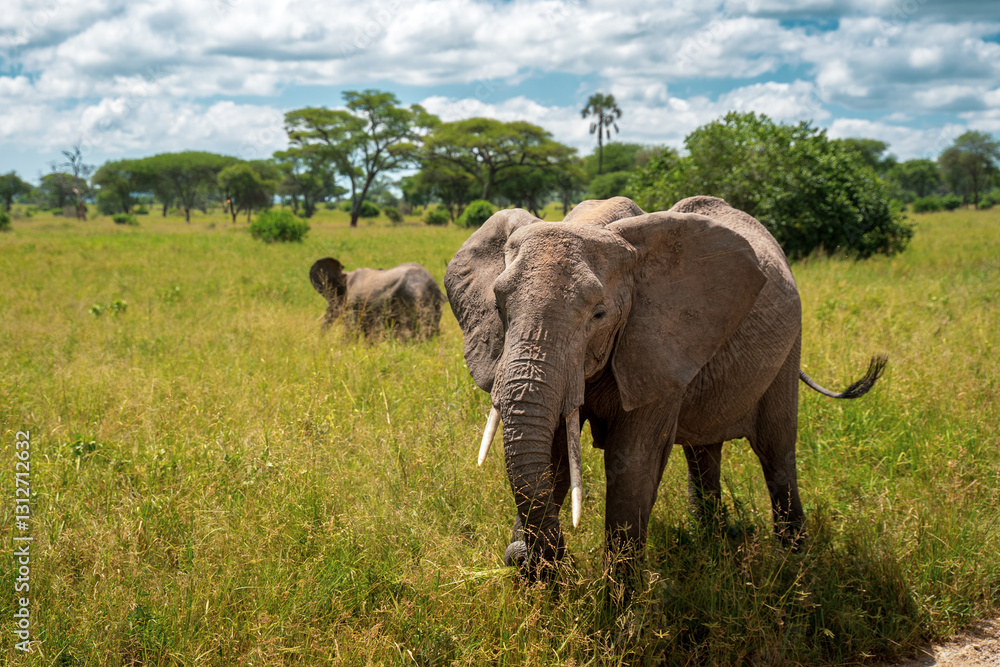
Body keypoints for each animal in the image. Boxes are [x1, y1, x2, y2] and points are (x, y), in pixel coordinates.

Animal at [444, 196, 886, 586]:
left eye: (599, 315)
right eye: (498, 307)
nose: (523, 556)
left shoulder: (658, 344)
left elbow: (632, 459)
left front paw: (620, 599)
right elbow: (552, 449)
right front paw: (536, 572)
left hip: (788, 347)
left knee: (776, 448)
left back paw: (794, 560)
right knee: (703, 450)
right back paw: (710, 538)